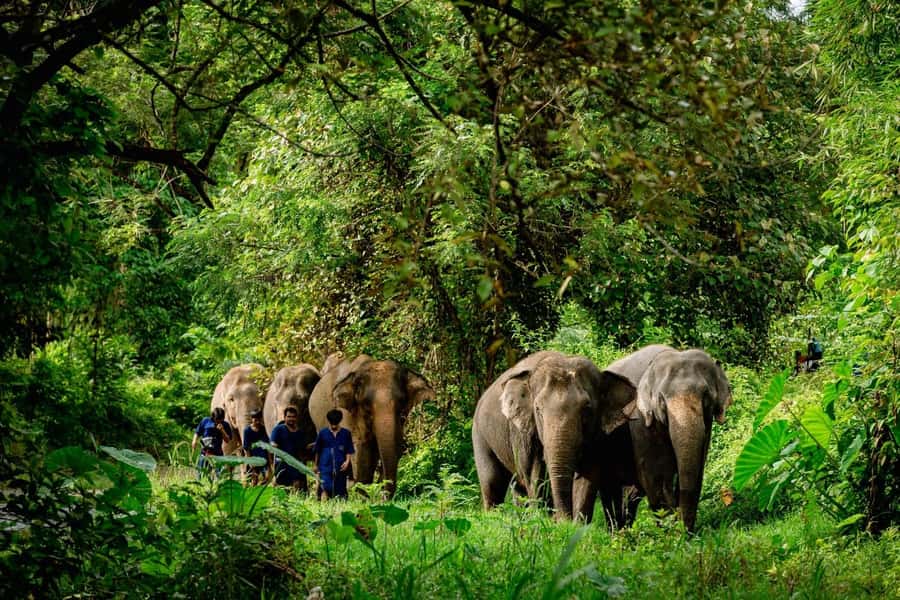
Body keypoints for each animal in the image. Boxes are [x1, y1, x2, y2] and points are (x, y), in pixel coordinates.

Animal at [308, 353, 434, 497]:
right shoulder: (348, 413)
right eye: (366, 405)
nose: (384, 497)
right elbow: (359, 447)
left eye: (401, 403)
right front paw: (363, 497)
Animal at [472, 351, 636, 520]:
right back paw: (493, 517)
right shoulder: (523, 433)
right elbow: (534, 473)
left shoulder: (598, 435)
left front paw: (573, 524)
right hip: (480, 435)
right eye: (538, 409)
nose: (561, 518)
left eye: (587, 407)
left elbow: (588, 474)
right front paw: (545, 520)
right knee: (492, 482)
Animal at [576, 345, 732, 531]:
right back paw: (617, 531)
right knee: (610, 489)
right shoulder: (640, 421)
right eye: (661, 400)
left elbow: (698, 469)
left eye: (706, 394)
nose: (686, 531)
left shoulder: (707, 424)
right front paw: (671, 532)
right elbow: (656, 476)